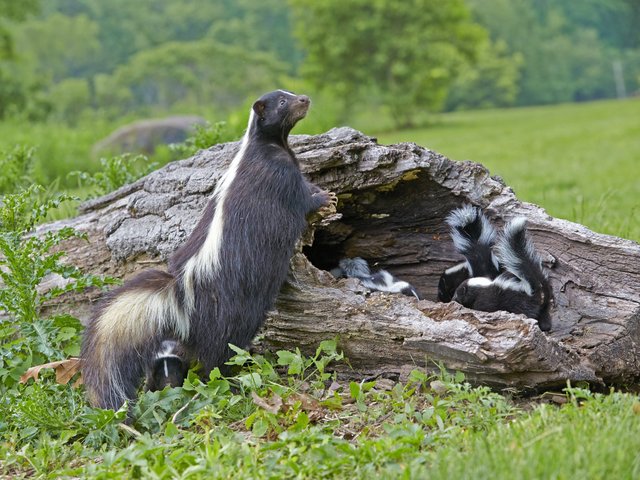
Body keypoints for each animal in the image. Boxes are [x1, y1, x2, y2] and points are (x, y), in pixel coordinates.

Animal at [82, 90, 338, 408]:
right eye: (282, 102)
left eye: (290, 96)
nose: (304, 99)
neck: (265, 145)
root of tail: (181, 292)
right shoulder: (278, 175)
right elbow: (301, 198)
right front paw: (323, 197)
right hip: (230, 311)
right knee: (219, 350)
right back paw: (233, 375)